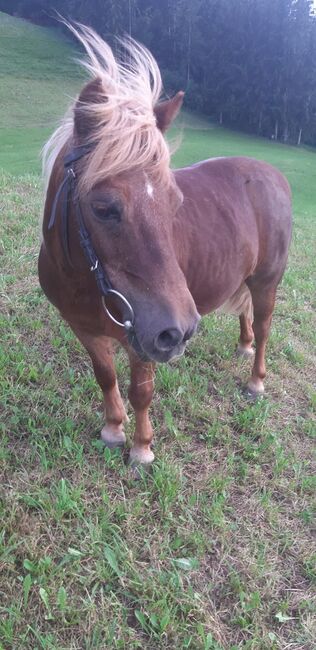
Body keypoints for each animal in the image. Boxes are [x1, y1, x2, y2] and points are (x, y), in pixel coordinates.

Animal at [39, 24, 292, 466]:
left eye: (175, 202)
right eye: (103, 208)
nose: (181, 330)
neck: (83, 278)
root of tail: (272, 174)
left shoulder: (142, 338)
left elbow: (141, 391)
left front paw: (141, 448)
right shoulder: (85, 329)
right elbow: (104, 376)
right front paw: (113, 428)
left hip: (266, 281)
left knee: (263, 326)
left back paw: (256, 379)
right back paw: (243, 346)